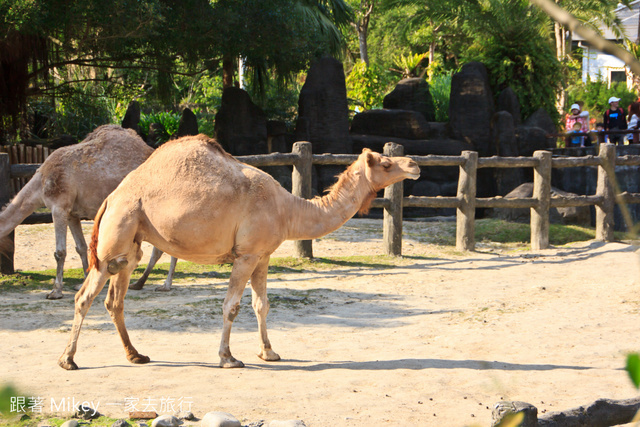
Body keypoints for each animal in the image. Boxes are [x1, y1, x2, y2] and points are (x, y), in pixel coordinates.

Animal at [0, 125, 176, 300]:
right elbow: (81, 247)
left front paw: (55, 291)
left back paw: (164, 285)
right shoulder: (72, 214)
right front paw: (83, 283)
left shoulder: (59, 207)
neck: (41, 183)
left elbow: (60, 252)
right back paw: (140, 283)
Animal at [57, 135, 420, 372]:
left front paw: (269, 352)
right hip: (116, 233)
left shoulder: (263, 255)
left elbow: (262, 305)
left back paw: (136, 355)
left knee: (114, 300)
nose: (415, 164)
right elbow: (231, 306)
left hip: (131, 243)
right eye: (386, 162)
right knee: (85, 297)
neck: (287, 209)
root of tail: (111, 198)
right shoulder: (245, 255)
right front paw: (228, 358)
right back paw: (68, 360)